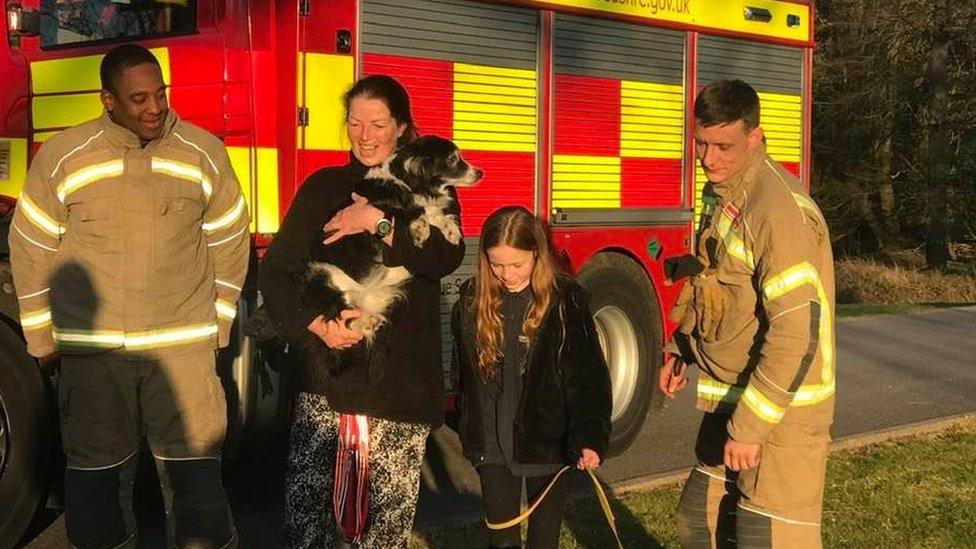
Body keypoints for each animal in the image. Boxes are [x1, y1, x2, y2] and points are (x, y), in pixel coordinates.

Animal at [300, 134, 478, 344]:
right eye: (452, 159)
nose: (480, 173)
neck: (406, 181)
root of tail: (367, 290)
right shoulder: (380, 206)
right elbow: (414, 209)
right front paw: (420, 229)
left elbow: (437, 214)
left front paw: (451, 231)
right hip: (323, 273)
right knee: (343, 313)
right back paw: (367, 321)